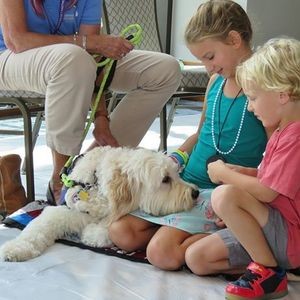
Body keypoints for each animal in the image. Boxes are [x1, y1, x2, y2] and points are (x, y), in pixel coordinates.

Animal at [0, 145, 199, 260]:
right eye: (165, 179)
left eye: (177, 174)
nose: (195, 192)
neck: (98, 187)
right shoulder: (63, 210)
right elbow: (36, 228)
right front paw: (16, 248)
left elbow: (105, 229)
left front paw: (93, 233)